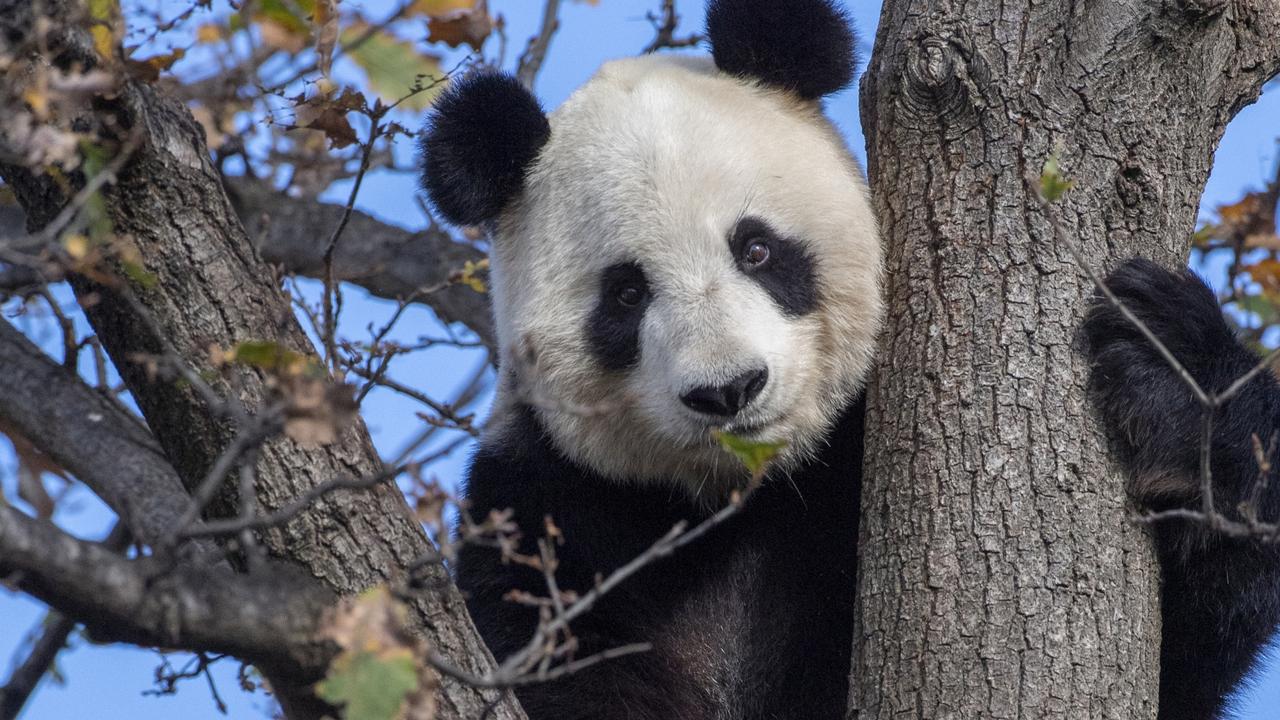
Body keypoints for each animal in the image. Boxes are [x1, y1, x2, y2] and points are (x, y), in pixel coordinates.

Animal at [419, 0, 1280, 712]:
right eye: (626, 295)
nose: (730, 390)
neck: (748, 495)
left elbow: (1184, 652)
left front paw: (1170, 372)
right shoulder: (547, 517)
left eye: (757, 249)